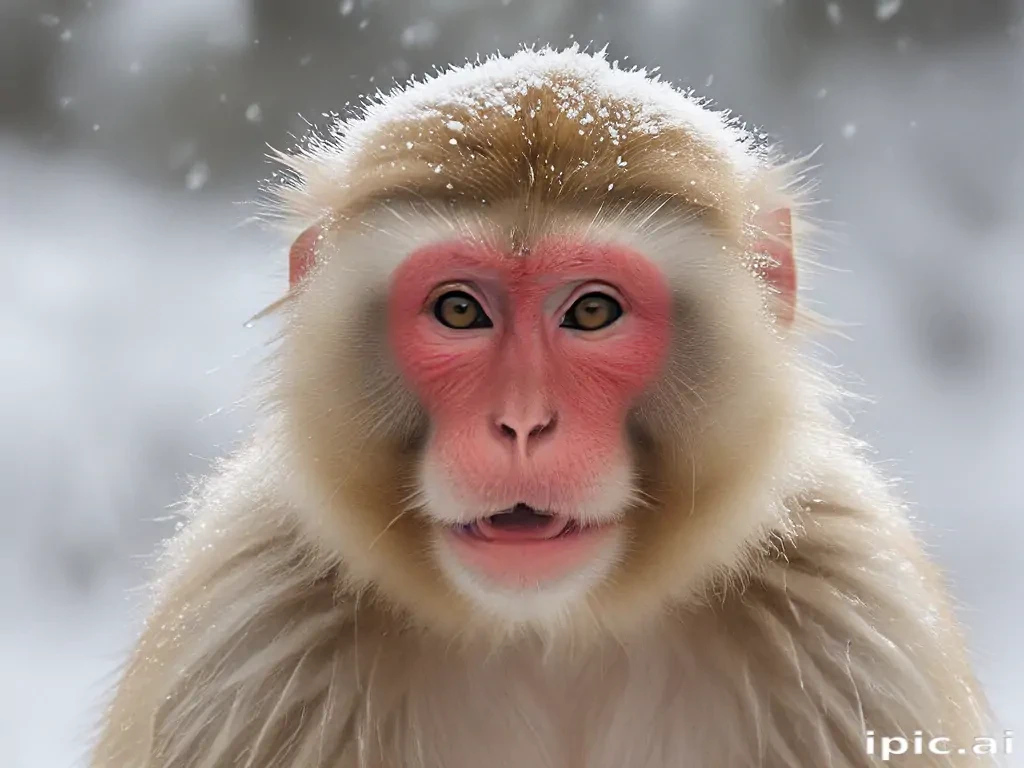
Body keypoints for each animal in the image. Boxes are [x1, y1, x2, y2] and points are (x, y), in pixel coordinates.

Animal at [92, 47, 995, 768]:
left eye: (591, 312)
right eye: (460, 311)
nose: (522, 422)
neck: (551, 636)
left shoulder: (857, 629)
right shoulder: (244, 632)